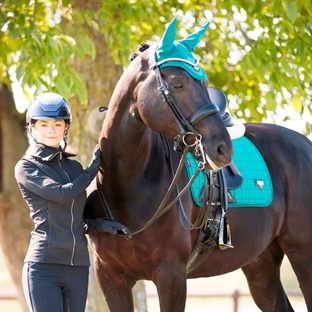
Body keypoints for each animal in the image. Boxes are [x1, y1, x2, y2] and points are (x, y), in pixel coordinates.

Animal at [85, 18, 312, 310]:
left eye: (204, 84)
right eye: (177, 83)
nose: (223, 148)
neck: (125, 187)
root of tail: (304, 144)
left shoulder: (171, 276)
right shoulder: (111, 279)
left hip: (303, 252)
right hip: (260, 264)